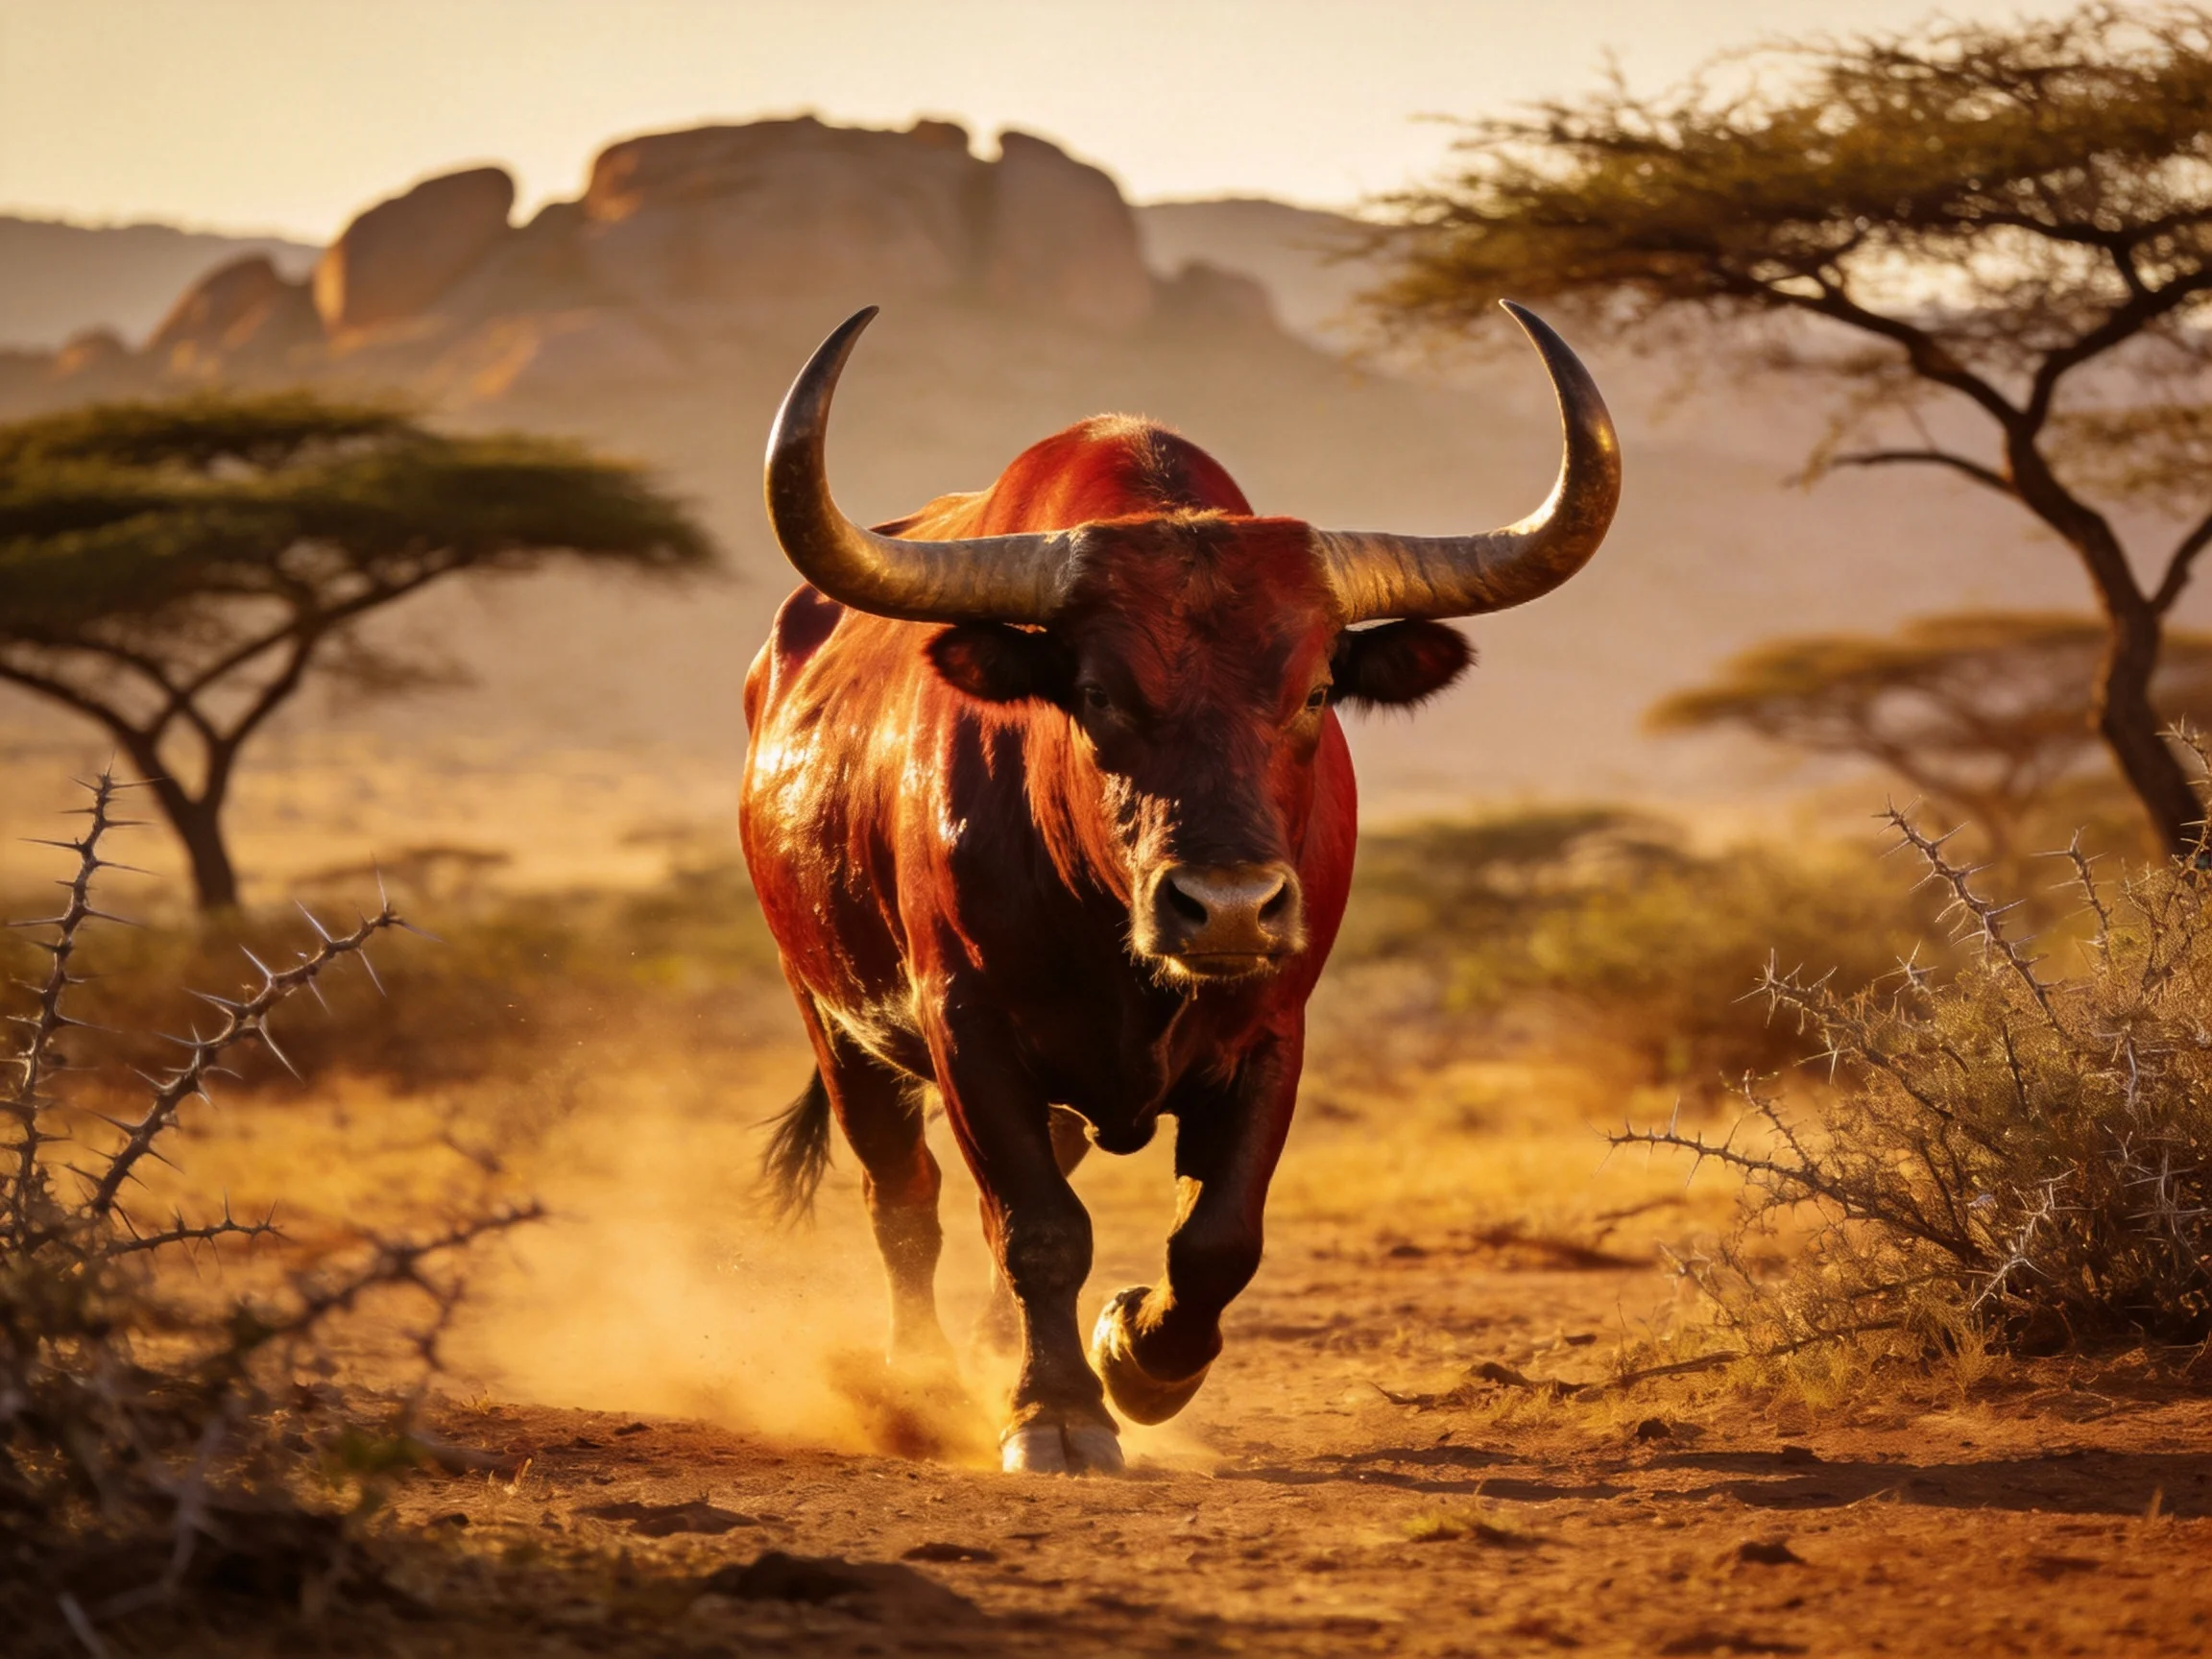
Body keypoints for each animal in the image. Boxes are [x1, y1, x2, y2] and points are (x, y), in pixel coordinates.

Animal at [741, 303, 1618, 1473]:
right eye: (1097, 692)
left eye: (1316, 689)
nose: (1229, 907)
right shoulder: (966, 1028)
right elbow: (1037, 1227)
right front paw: (1056, 1411)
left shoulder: (1271, 1035)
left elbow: (1217, 1239)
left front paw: (1137, 1358)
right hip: (833, 1020)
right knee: (906, 1201)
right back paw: (921, 1382)